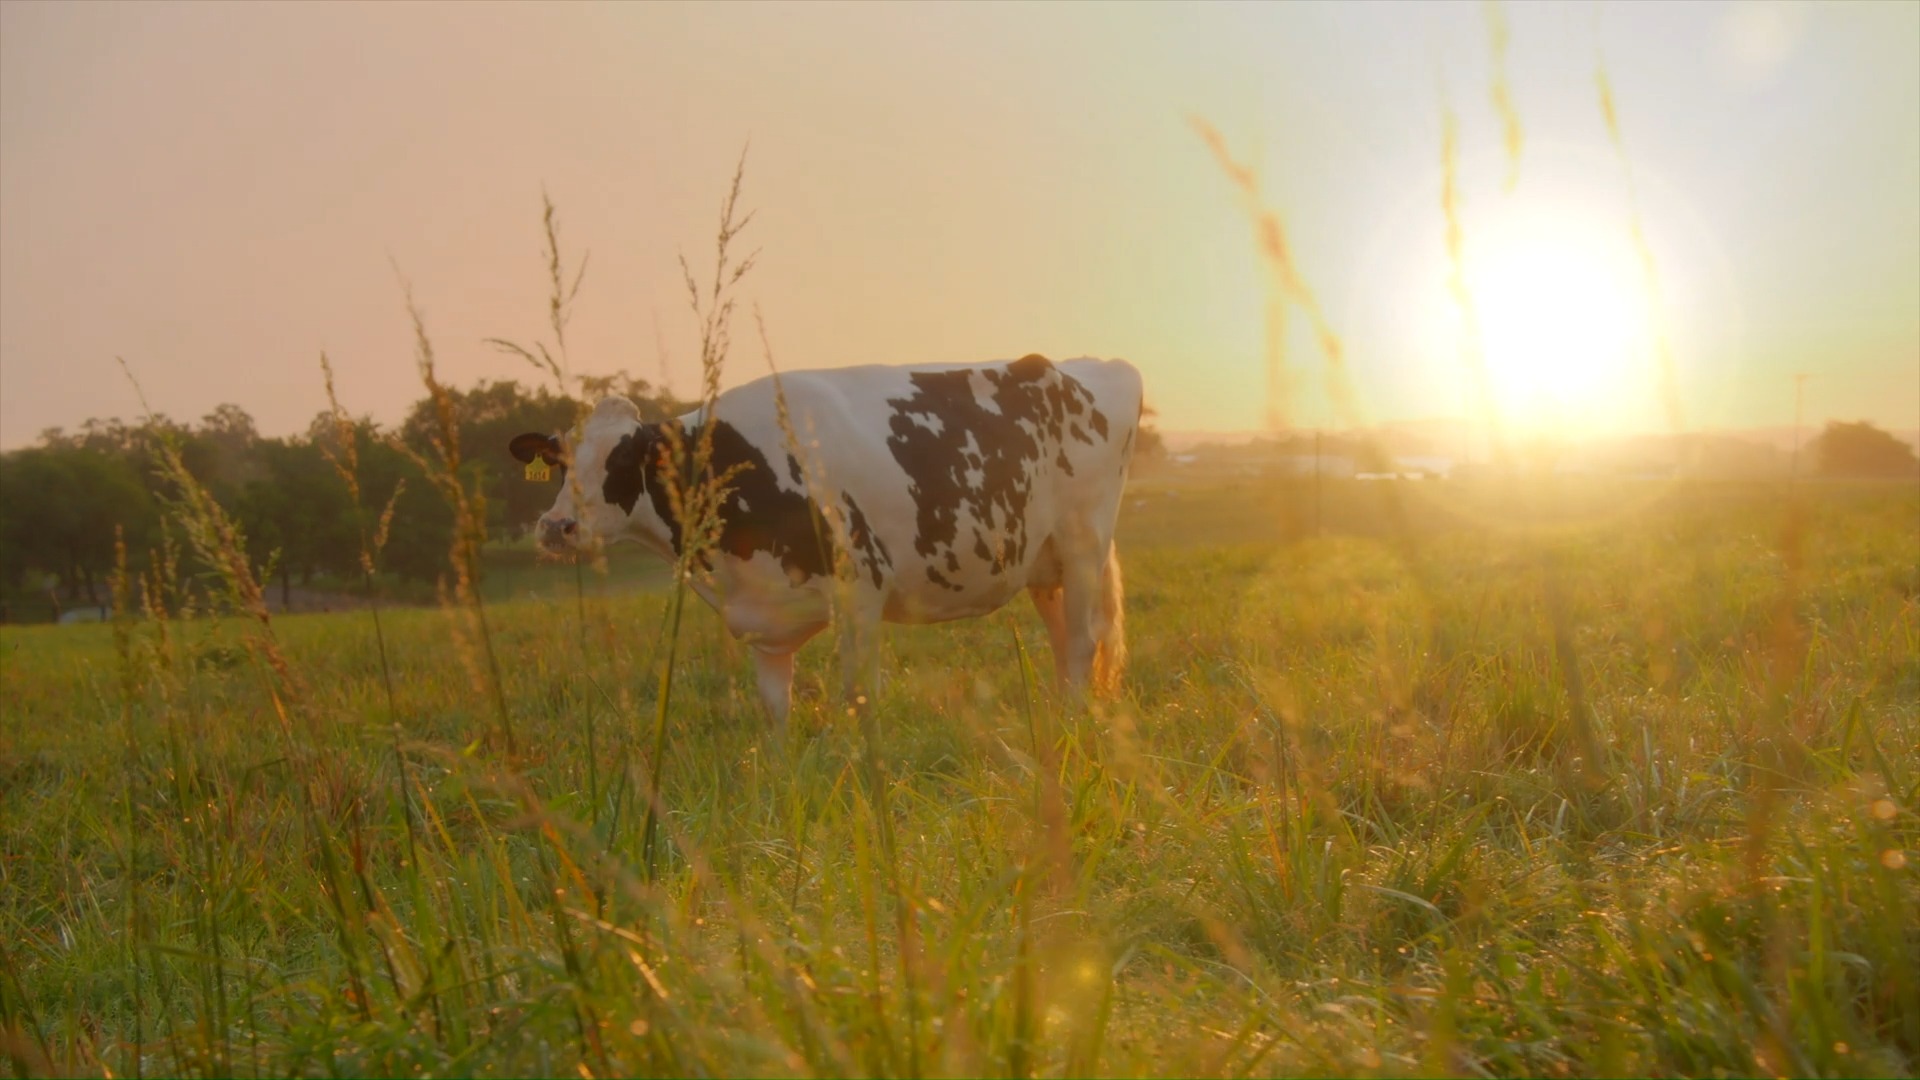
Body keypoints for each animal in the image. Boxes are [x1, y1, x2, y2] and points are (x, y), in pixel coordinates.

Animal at [510, 354, 1143, 734]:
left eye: (622, 459)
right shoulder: (761, 617)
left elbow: (858, 697)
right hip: (1044, 564)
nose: (556, 526)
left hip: (1083, 544)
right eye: (559, 461)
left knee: (1083, 643)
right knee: (1063, 644)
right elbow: (775, 709)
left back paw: (1075, 723)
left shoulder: (860, 589)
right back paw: (1061, 719)